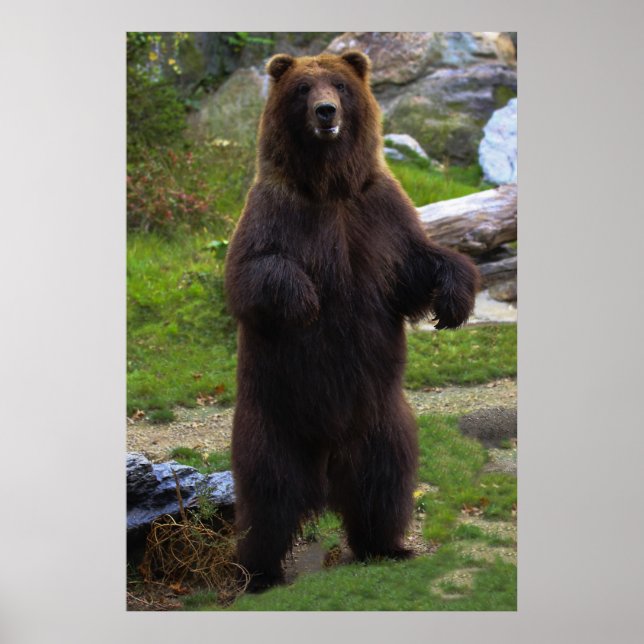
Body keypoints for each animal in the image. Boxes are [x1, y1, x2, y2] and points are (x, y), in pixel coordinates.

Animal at [224, 50, 479, 591]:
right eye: (303, 88)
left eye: (339, 85)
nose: (326, 112)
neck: (329, 185)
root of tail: (325, 464)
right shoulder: (276, 212)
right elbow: (253, 275)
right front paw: (304, 299)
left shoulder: (378, 212)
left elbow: (416, 265)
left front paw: (453, 301)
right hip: (273, 417)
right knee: (268, 495)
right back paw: (260, 572)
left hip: (379, 419)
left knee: (383, 481)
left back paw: (387, 547)